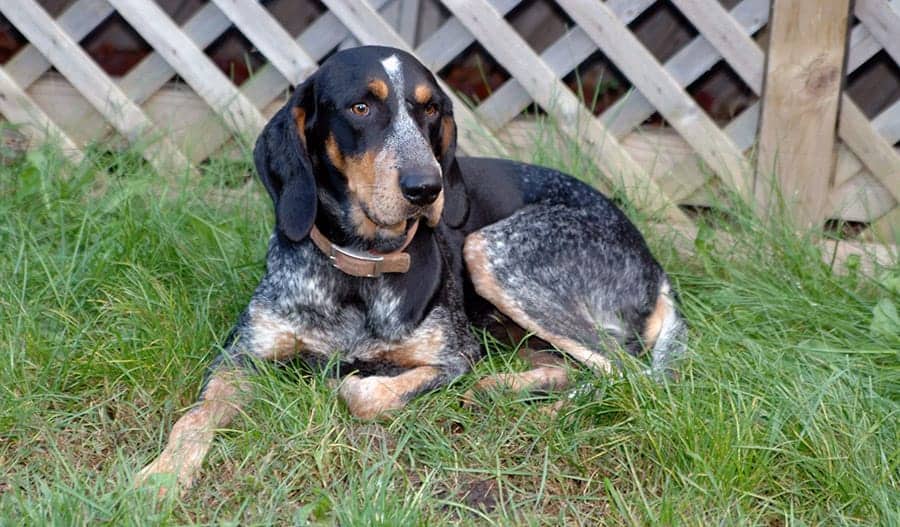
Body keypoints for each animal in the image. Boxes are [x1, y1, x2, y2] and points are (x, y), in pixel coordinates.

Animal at [134, 44, 684, 490]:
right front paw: (160, 477)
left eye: (431, 109)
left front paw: (354, 382)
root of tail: (653, 264)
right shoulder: (241, 357)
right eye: (361, 107)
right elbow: (194, 418)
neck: (359, 268)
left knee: (630, 377)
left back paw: (543, 413)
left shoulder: (454, 355)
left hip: (492, 252)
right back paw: (500, 389)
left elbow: (363, 394)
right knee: (570, 366)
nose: (427, 187)